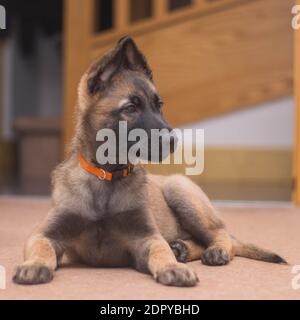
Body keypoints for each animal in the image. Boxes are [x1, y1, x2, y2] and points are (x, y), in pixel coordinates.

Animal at [12, 36, 288, 286]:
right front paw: (33, 265)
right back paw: (182, 249)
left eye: (159, 105)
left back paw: (211, 250)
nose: (173, 141)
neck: (108, 176)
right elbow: (42, 248)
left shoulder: (146, 238)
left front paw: (172, 267)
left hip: (180, 189)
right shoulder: (45, 233)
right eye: (130, 108)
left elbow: (160, 251)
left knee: (221, 235)